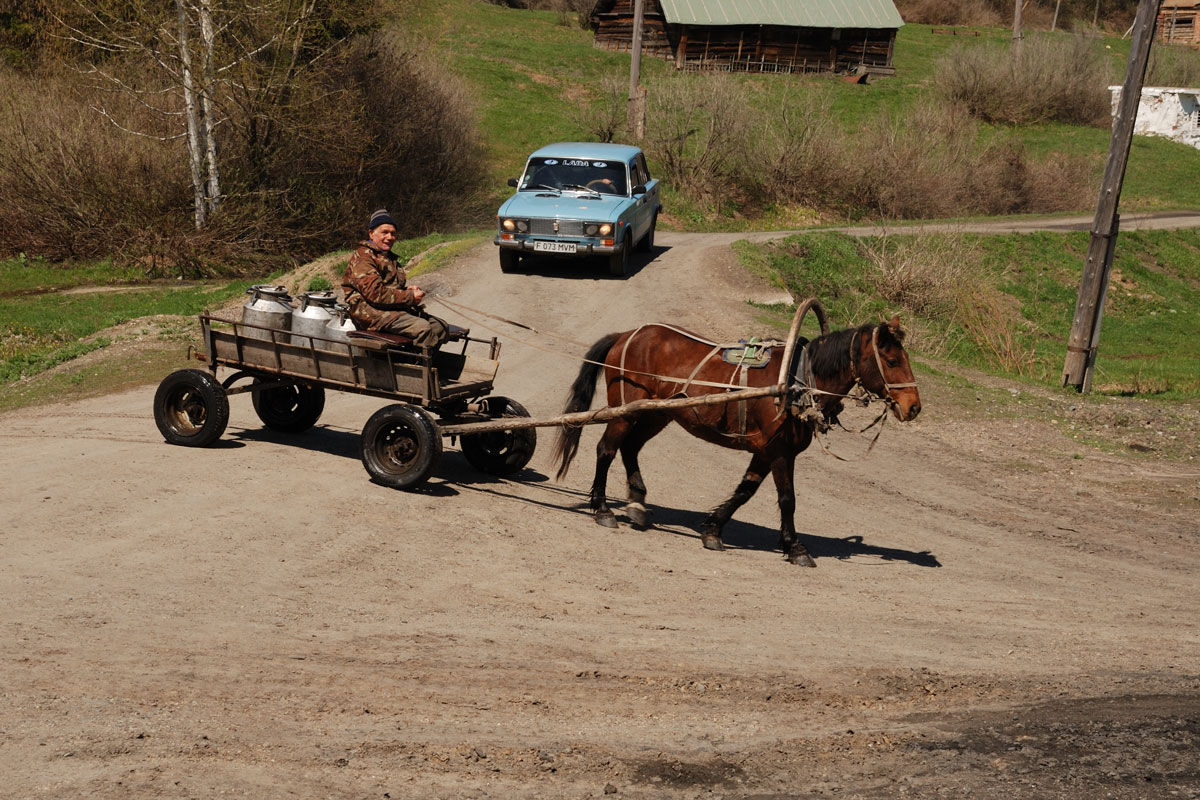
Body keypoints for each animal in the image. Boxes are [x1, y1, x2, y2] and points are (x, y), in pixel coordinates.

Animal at [549, 316, 921, 566]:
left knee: (630, 448)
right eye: (891, 361)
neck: (797, 381)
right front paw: (796, 548)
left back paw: (637, 504)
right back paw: (602, 509)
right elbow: (787, 499)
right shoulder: (779, 452)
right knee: (606, 449)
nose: (913, 407)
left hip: (657, 413)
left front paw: (713, 529)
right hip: (625, 410)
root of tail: (626, 335)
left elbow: (745, 491)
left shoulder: (765, 451)